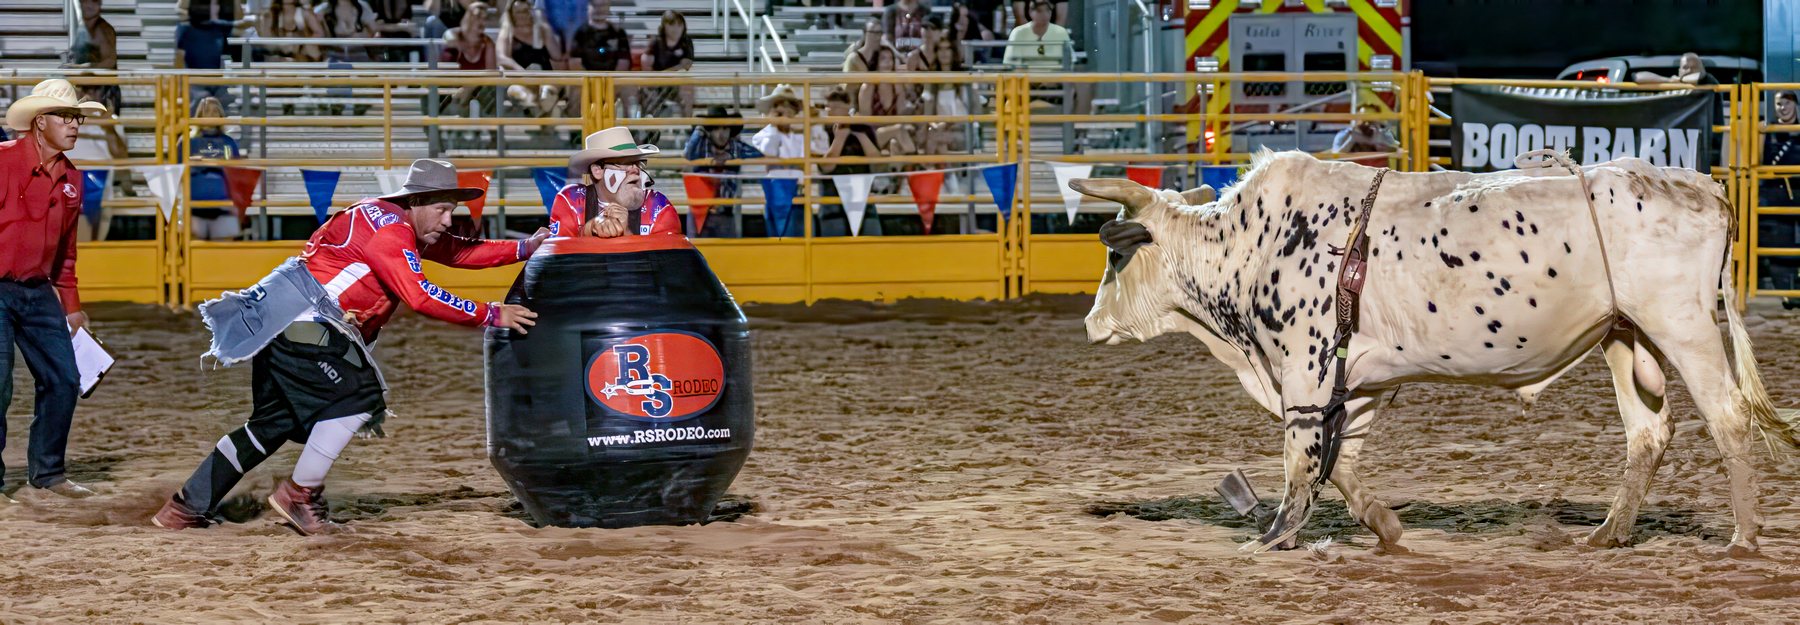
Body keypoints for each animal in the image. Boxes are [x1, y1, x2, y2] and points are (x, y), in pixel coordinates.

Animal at [1072, 149, 1797, 555]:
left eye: (1115, 256)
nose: (1090, 322)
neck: (1250, 242)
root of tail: (1699, 183)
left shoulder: (1306, 369)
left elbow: (1302, 457)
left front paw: (1276, 535)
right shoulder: (1358, 377)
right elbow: (1343, 461)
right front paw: (1386, 528)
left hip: (1683, 325)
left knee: (1729, 418)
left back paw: (1744, 537)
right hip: (1625, 335)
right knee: (1648, 432)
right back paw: (1609, 533)